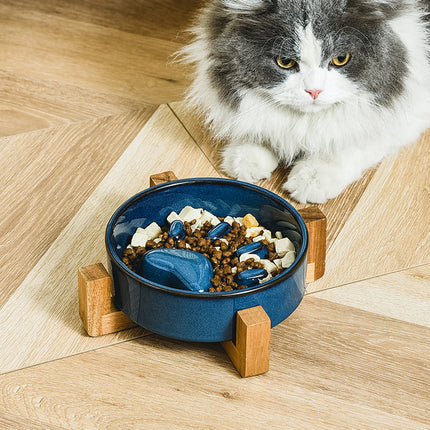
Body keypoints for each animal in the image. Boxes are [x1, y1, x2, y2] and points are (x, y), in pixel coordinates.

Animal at [179, 0, 430, 203]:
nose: (314, 91)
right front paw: (246, 159)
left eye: (341, 59)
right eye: (285, 62)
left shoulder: (411, 109)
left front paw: (312, 179)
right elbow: (255, 124)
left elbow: (351, 139)